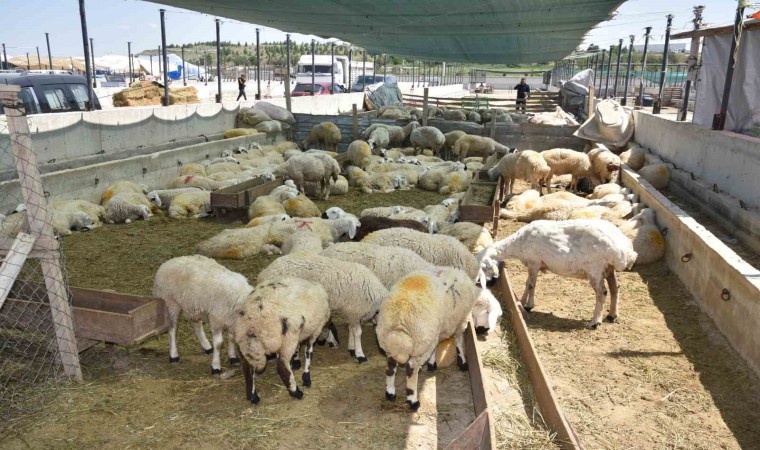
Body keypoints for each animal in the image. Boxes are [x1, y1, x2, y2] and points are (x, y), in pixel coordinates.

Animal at [258, 253, 388, 362]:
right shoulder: (355, 310)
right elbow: (357, 332)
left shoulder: (350, 311)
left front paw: (351, 348)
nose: (383, 350)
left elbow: (351, 329)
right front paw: (360, 354)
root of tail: (265, 273)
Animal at [378, 268, 478, 412]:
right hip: (421, 344)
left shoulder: (436, 333)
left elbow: (435, 348)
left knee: (391, 367)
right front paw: (463, 363)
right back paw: (413, 401)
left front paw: (432, 364)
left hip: (392, 343)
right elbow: (459, 342)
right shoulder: (460, 321)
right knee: (411, 368)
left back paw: (390, 393)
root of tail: (400, 317)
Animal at [478, 220, 640, 328]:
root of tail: (623, 250)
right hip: (609, 269)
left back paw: (595, 322)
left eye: (482, 269)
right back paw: (612, 315)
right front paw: (524, 302)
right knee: (615, 289)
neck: (518, 244)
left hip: (595, 269)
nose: (487, 284)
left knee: (602, 293)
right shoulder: (536, 265)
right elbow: (531, 285)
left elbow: (530, 284)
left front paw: (526, 304)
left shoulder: (534, 263)